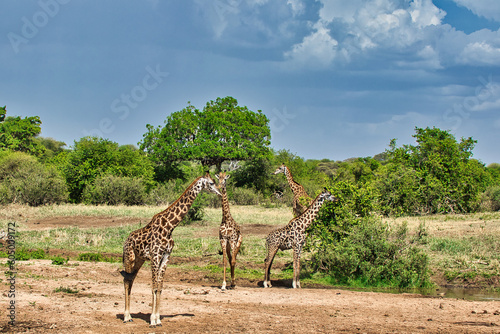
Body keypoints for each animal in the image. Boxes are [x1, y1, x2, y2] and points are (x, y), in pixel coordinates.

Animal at [120, 172, 220, 326]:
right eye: (211, 183)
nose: (220, 193)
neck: (170, 226)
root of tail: (126, 240)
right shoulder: (155, 256)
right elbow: (154, 287)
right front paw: (152, 321)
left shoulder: (166, 256)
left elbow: (160, 288)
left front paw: (158, 319)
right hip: (129, 258)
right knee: (126, 282)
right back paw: (126, 317)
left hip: (139, 260)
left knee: (130, 281)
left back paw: (130, 316)